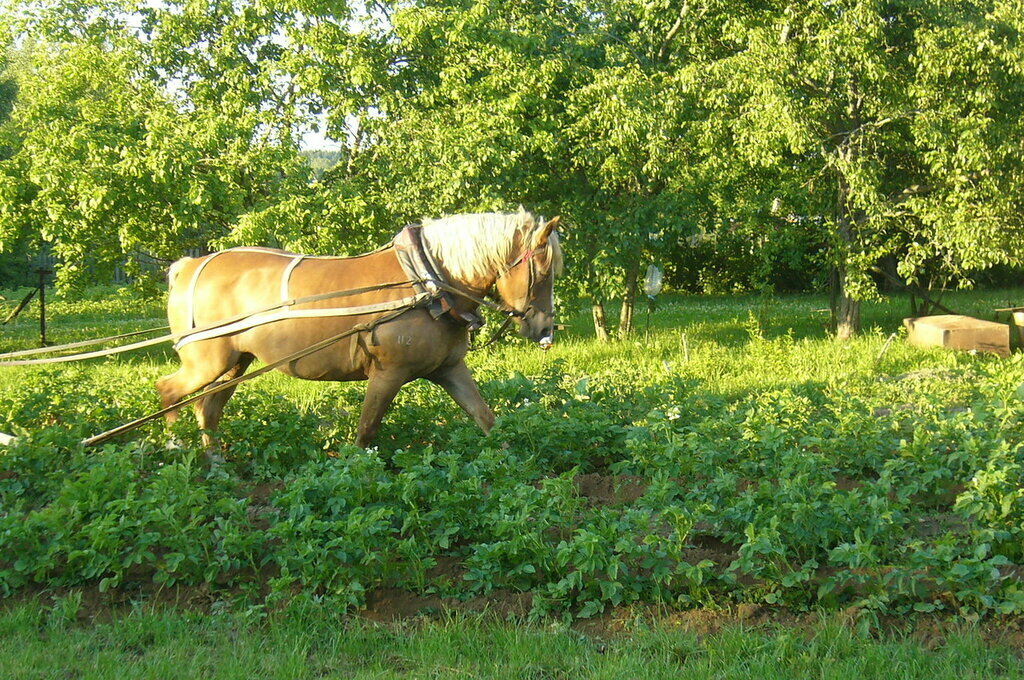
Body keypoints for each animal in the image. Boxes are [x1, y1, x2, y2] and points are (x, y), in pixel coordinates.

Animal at [155, 209, 565, 448]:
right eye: (543, 270)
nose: (545, 329)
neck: (428, 281)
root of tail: (190, 266)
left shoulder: (449, 369)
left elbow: (486, 419)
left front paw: (508, 468)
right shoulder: (388, 373)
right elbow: (366, 432)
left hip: (236, 362)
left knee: (208, 409)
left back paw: (215, 467)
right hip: (208, 361)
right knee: (170, 392)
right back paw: (176, 451)